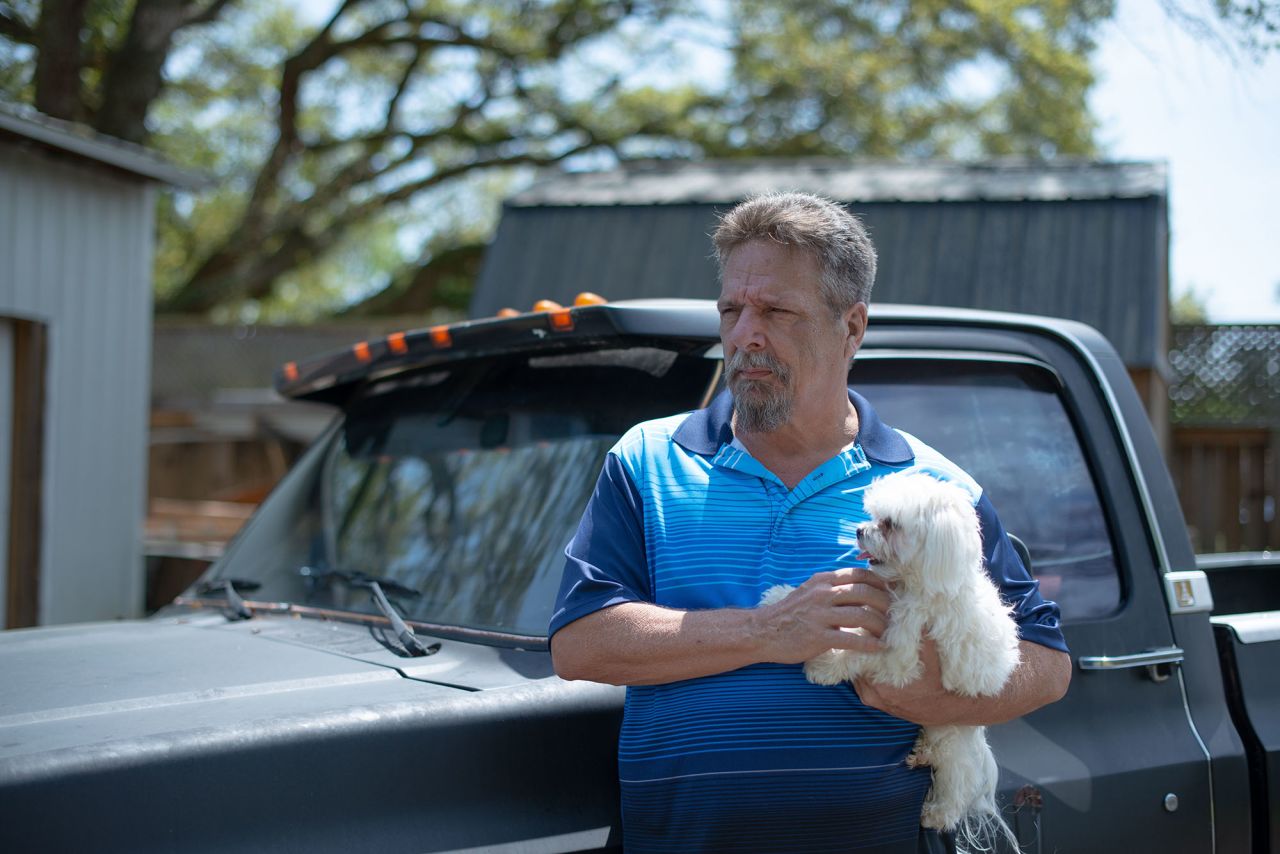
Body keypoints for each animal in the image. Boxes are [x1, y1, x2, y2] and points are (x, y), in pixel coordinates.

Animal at [757, 473, 1018, 850]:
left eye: (891, 524)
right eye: (873, 515)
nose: (858, 531)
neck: (911, 584)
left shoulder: (903, 658)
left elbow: (858, 650)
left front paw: (824, 665)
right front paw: (782, 598)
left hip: (953, 729)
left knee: (960, 775)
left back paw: (939, 811)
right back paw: (923, 751)